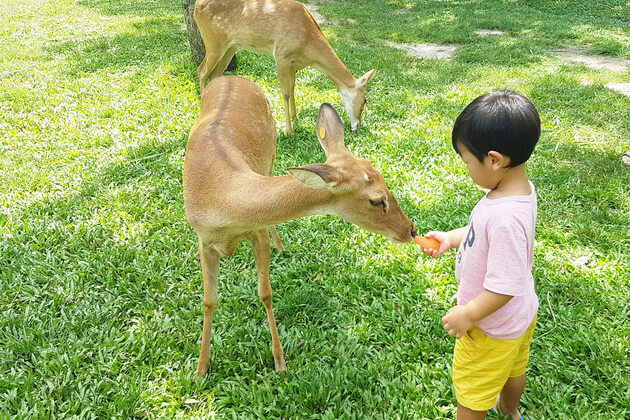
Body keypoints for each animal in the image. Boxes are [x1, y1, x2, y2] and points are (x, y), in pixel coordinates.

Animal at [184, 76, 420, 378]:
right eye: (378, 200)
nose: (410, 230)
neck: (221, 194)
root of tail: (231, 76)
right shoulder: (204, 239)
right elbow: (209, 300)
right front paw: (201, 369)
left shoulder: (258, 230)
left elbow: (265, 293)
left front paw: (279, 362)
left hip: (271, 151)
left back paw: (281, 246)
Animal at [195, 0, 378, 133]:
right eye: (365, 99)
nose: (357, 126)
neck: (308, 44)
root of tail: (196, 8)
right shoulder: (281, 55)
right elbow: (285, 92)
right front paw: (288, 129)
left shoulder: (293, 63)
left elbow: (292, 87)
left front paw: (295, 117)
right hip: (213, 41)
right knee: (202, 71)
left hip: (231, 46)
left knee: (214, 74)